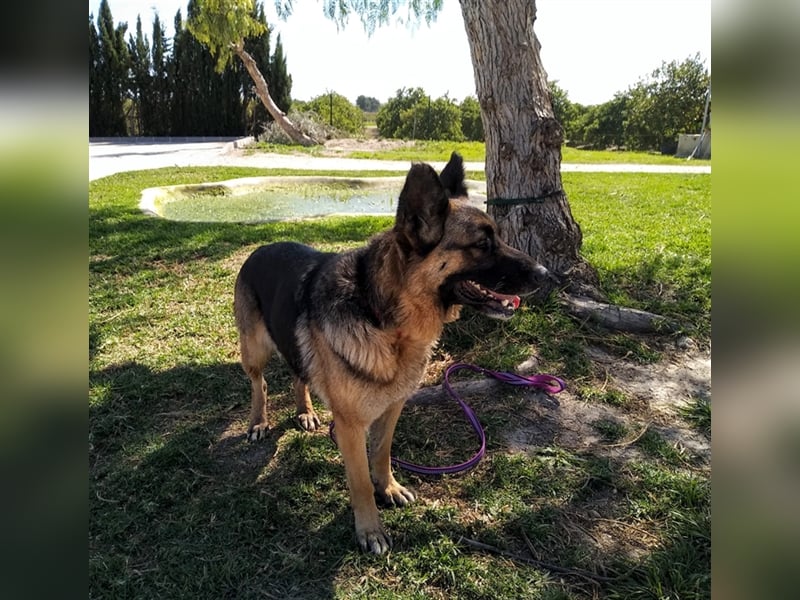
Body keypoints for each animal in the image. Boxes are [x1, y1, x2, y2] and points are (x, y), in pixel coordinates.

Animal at [234, 152, 552, 554]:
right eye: (482, 244)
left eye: (499, 236)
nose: (545, 273)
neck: (386, 321)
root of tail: (261, 248)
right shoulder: (351, 426)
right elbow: (359, 482)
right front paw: (370, 529)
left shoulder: (392, 408)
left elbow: (382, 454)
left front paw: (389, 487)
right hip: (255, 349)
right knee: (258, 384)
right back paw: (259, 421)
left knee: (297, 373)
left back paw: (304, 411)